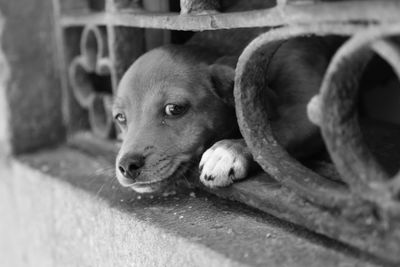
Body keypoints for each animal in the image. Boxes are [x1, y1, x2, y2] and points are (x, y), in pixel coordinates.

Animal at [111, 36, 344, 195]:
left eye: (174, 109)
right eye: (120, 117)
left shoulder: (310, 115)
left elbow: (265, 139)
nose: (127, 166)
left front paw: (227, 150)